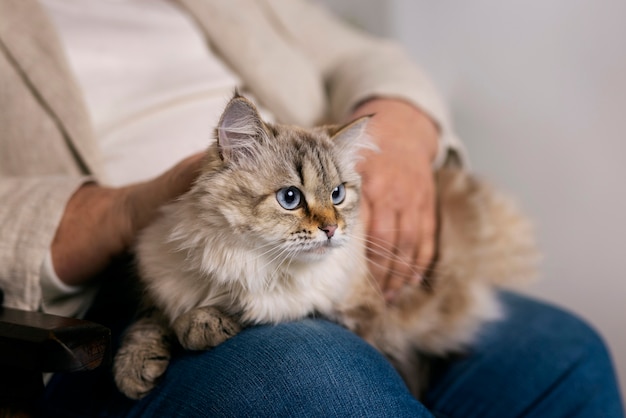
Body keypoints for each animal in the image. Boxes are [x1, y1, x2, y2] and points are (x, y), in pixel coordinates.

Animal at [113, 93, 536, 400]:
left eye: (337, 194)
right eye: (290, 198)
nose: (332, 229)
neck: (238, 262)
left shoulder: (354, 312)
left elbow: (252, 310)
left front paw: (199, 325)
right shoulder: (160, 270)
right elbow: (148, 320)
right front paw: (133, 371)